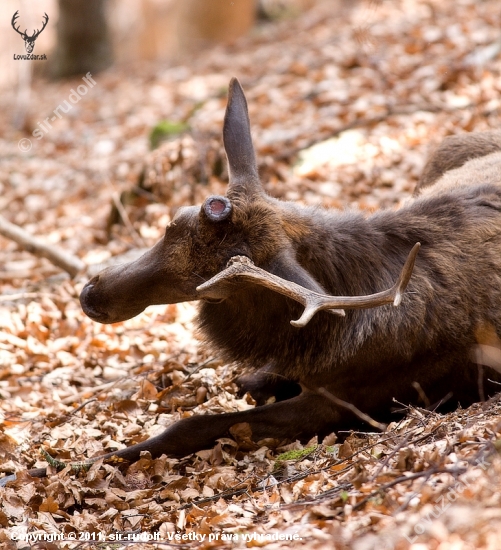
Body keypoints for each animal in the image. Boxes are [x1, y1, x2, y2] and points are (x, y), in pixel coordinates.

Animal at [3, 77, 500, 484]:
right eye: (171, 223)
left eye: (214, 288)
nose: (92, 295)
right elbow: (251, 384)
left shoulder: (349, 400)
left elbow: (192, 425)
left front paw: (66, 466)